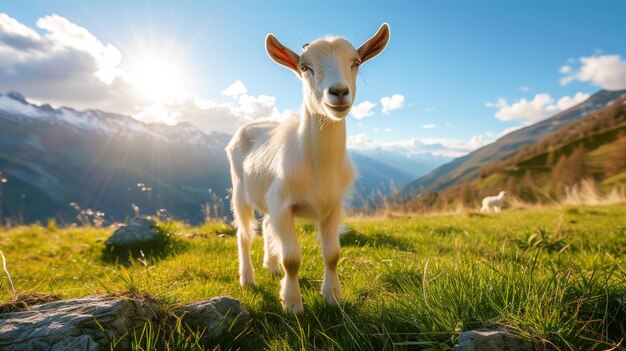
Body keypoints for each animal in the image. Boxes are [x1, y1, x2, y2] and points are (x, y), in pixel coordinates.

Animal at [224, 24, 390, 316]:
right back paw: (247, 278)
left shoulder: (333, 206)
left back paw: (271, 266)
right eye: (304, 67)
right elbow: (292, 259)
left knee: (266, 224)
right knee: (244, 233)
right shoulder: (282, 204)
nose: (339, 92)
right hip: (240, 192)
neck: (318, 168)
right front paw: (293, 304)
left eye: (356, 63)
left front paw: (333, 297)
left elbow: (332, 255)